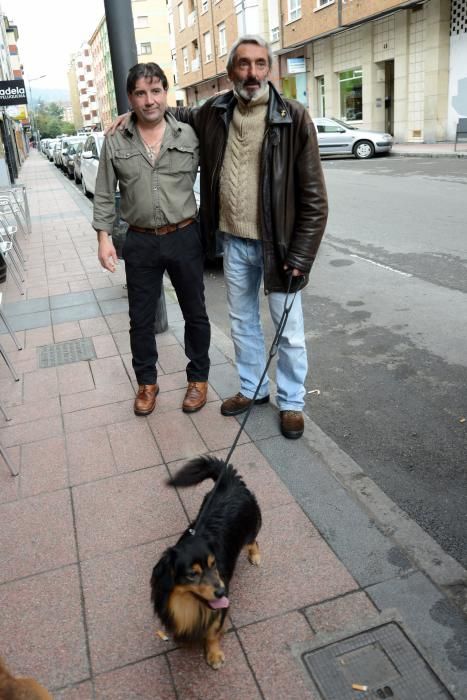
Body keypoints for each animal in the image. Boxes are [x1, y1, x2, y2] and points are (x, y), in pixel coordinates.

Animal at [153, 456, 264, 668]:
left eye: (214, 565)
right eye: (192, 574)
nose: (222, 591)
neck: (188, 603)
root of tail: (230, 480)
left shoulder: (220, 611)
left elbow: (213, 632)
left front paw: (214, 654)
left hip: (251, 527)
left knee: (254, 540)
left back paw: (255, 555)